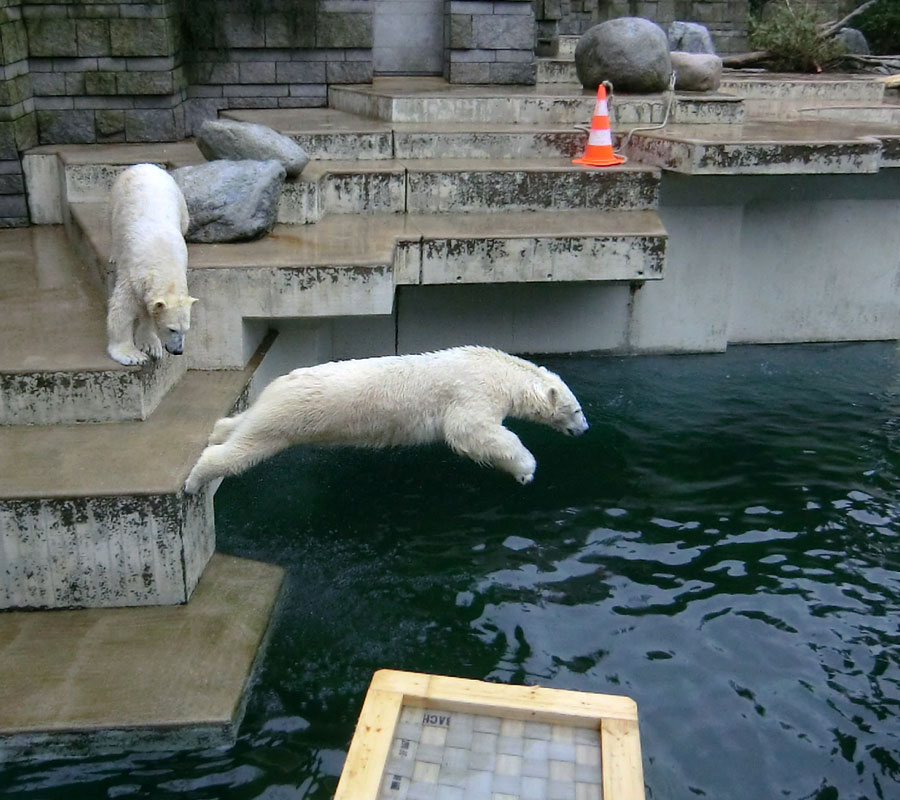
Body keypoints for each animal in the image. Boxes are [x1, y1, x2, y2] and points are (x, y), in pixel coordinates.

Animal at [106, 164, 196, 368]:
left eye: (186, 329)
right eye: (171, 329)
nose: (178, 351)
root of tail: (145, 165)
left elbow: (147, 312)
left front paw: (150, 345)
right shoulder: (132, 276)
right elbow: (122, 309)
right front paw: (131, 354)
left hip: (180, 201)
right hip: (117, 197)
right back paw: (113, 255)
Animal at [185, 346, 592, 494]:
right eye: (576, 409)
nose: (585, 429)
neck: (499, 371)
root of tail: (279, 382)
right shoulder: (470, 393)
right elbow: (471, 432)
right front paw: (526, 470)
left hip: (273, 406)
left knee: (240, 425)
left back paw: (218, 431)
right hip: (289, 416)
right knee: (248, 447)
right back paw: (194, 480)